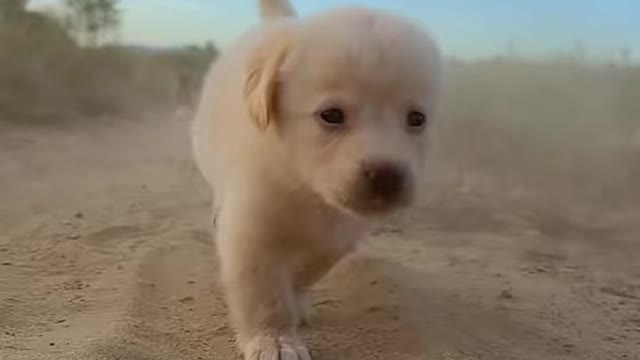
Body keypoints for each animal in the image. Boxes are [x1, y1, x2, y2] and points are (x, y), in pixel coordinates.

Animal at [190, 0, 440, 358]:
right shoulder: (251, 232)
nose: (387, 175)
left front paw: (296, 301)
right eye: (331, 116)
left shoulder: (339, 236)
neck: (307, 191)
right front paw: (274, 339)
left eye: (417, 119)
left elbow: (308, 269)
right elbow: (264, 294)